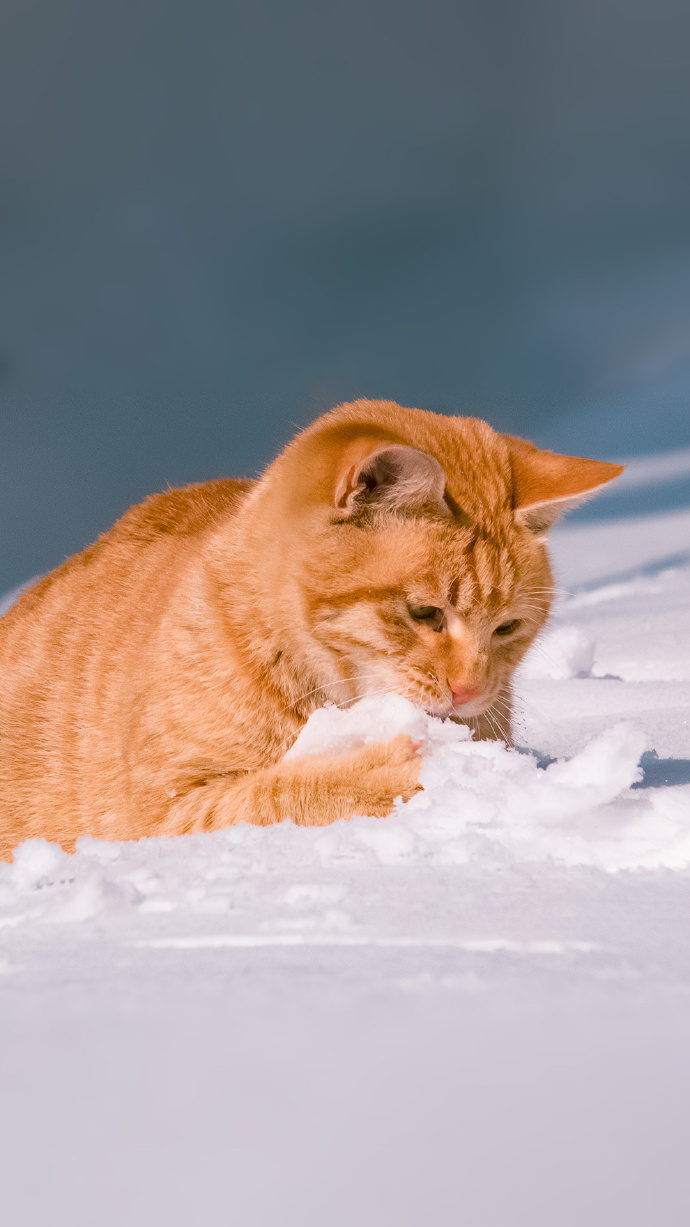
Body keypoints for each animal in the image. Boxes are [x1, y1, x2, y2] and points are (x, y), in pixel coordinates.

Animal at [0, 397, 623, 858]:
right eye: (425, 613)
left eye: (507, 628)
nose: (470, 691)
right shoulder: (157, 814)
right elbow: (274, 796)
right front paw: (389, 775)